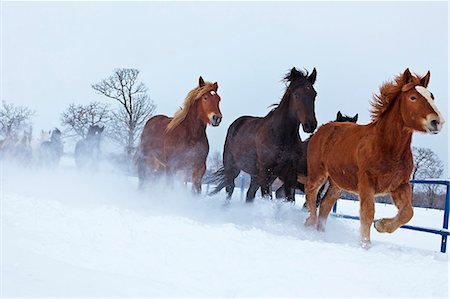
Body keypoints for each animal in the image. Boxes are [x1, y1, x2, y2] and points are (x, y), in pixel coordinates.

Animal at [210, 67, 318, 203]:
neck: (281, 135)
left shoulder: (290, 176)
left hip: (256, 176)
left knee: (249, 194)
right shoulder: (266, 173)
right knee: (230, 188)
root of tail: (236, 123)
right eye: (296, 94)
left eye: (314, 94)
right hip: (233, 168)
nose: (310, 125)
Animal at [304, 69, 444, 248]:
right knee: (311, 194)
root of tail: (321, 130)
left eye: (432, 96)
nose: (437, 122)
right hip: (318, 173)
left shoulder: (400, 185)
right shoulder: (366, 182)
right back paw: (309, 224)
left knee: (325, 204)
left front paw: (381, 225)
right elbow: (367, 213)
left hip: (337, 184)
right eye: (413, 97)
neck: (388, 148)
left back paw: (321, 234)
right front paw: (366, 245)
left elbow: (408, 212)